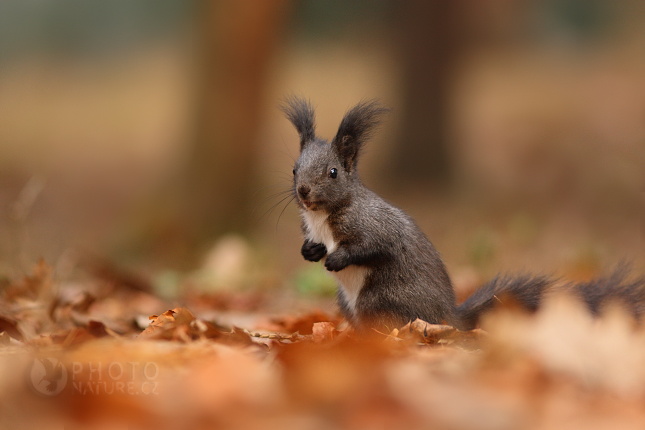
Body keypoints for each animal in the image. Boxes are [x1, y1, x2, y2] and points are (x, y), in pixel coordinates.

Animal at [280, 97, 644, 332]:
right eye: (294, 169)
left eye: (332, 173)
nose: (303, 192)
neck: (323, 216)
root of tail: (448, 319)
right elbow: (314, 244)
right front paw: (310, 251)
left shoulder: (373, 224)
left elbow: (372, 246)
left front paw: (336, 259)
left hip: (381, 299)